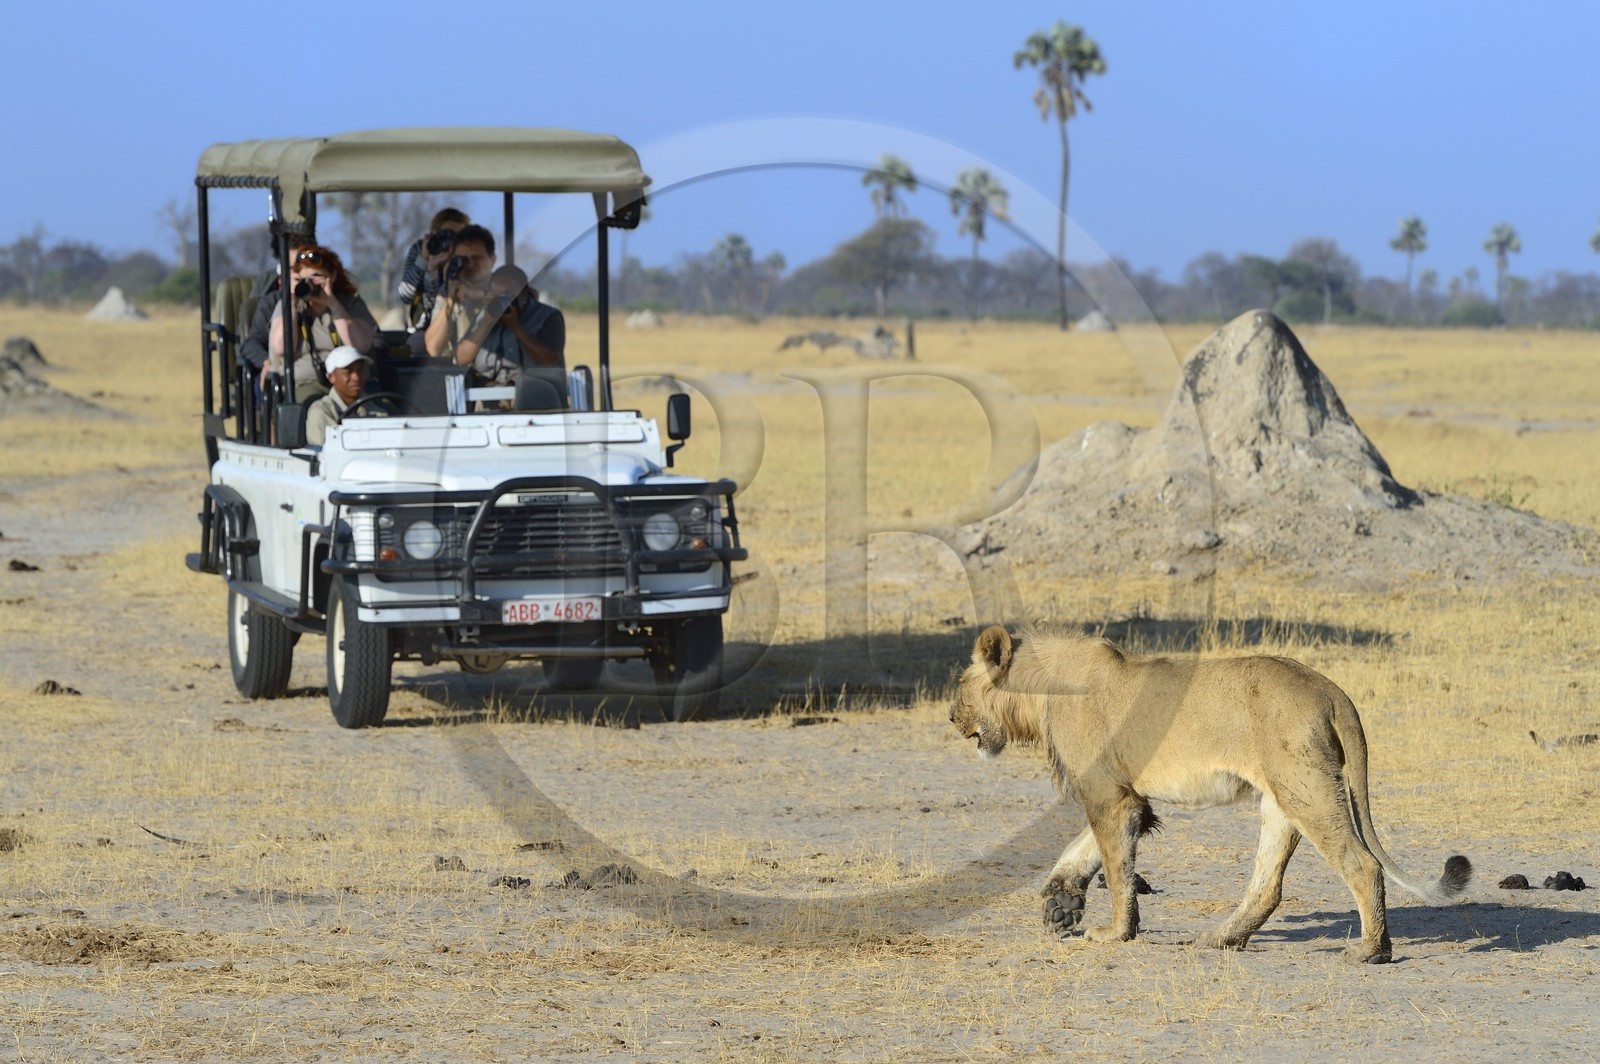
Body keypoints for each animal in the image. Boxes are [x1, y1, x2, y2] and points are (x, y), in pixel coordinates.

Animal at [949, 625, 1472, 964]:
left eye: (961, 684)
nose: (951, 718)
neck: (1039, 694)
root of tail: (1333, 692)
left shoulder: (1106, 793)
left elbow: (1117, 869)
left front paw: (1114, 933)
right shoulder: (1129, 797)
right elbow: (1086, 849)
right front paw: (1061, 902)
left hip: (1307, 788)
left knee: (1362, 864)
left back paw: (1370, 950)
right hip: (1282, 798)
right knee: (1267, 885)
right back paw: (1219, 939)